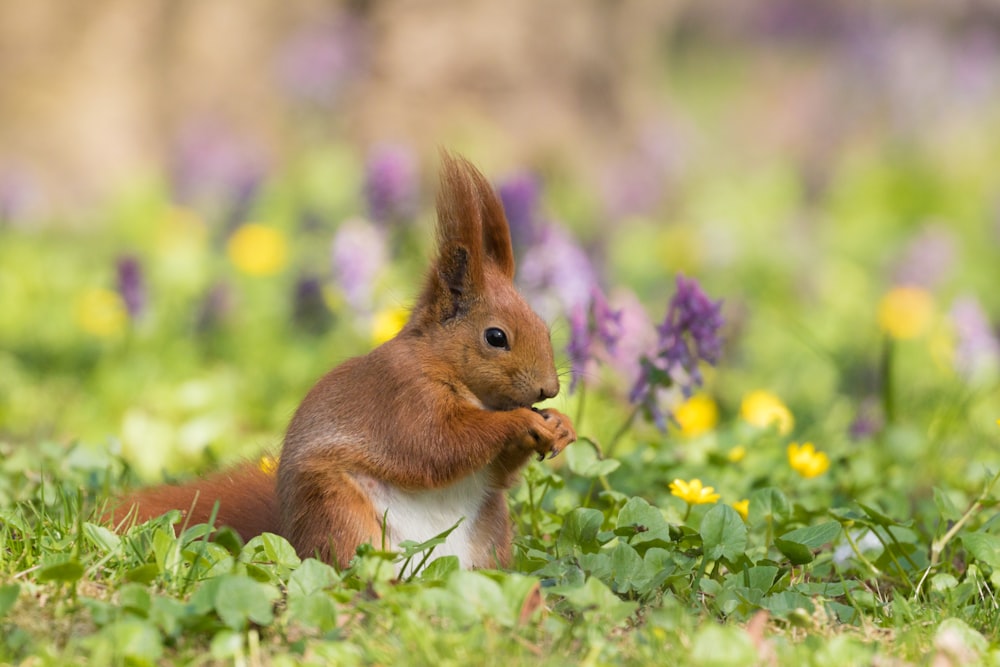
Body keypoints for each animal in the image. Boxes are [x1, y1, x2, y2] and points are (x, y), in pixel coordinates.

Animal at [115, 153, 580, 568]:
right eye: (496, 337)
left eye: (544, 324)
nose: (549, 388)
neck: (444, 365)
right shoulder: (403, 397)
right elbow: (439, 445)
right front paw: (520, 421)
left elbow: (497, 472)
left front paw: (560, 424)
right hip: (337, 509)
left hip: (490, 532)